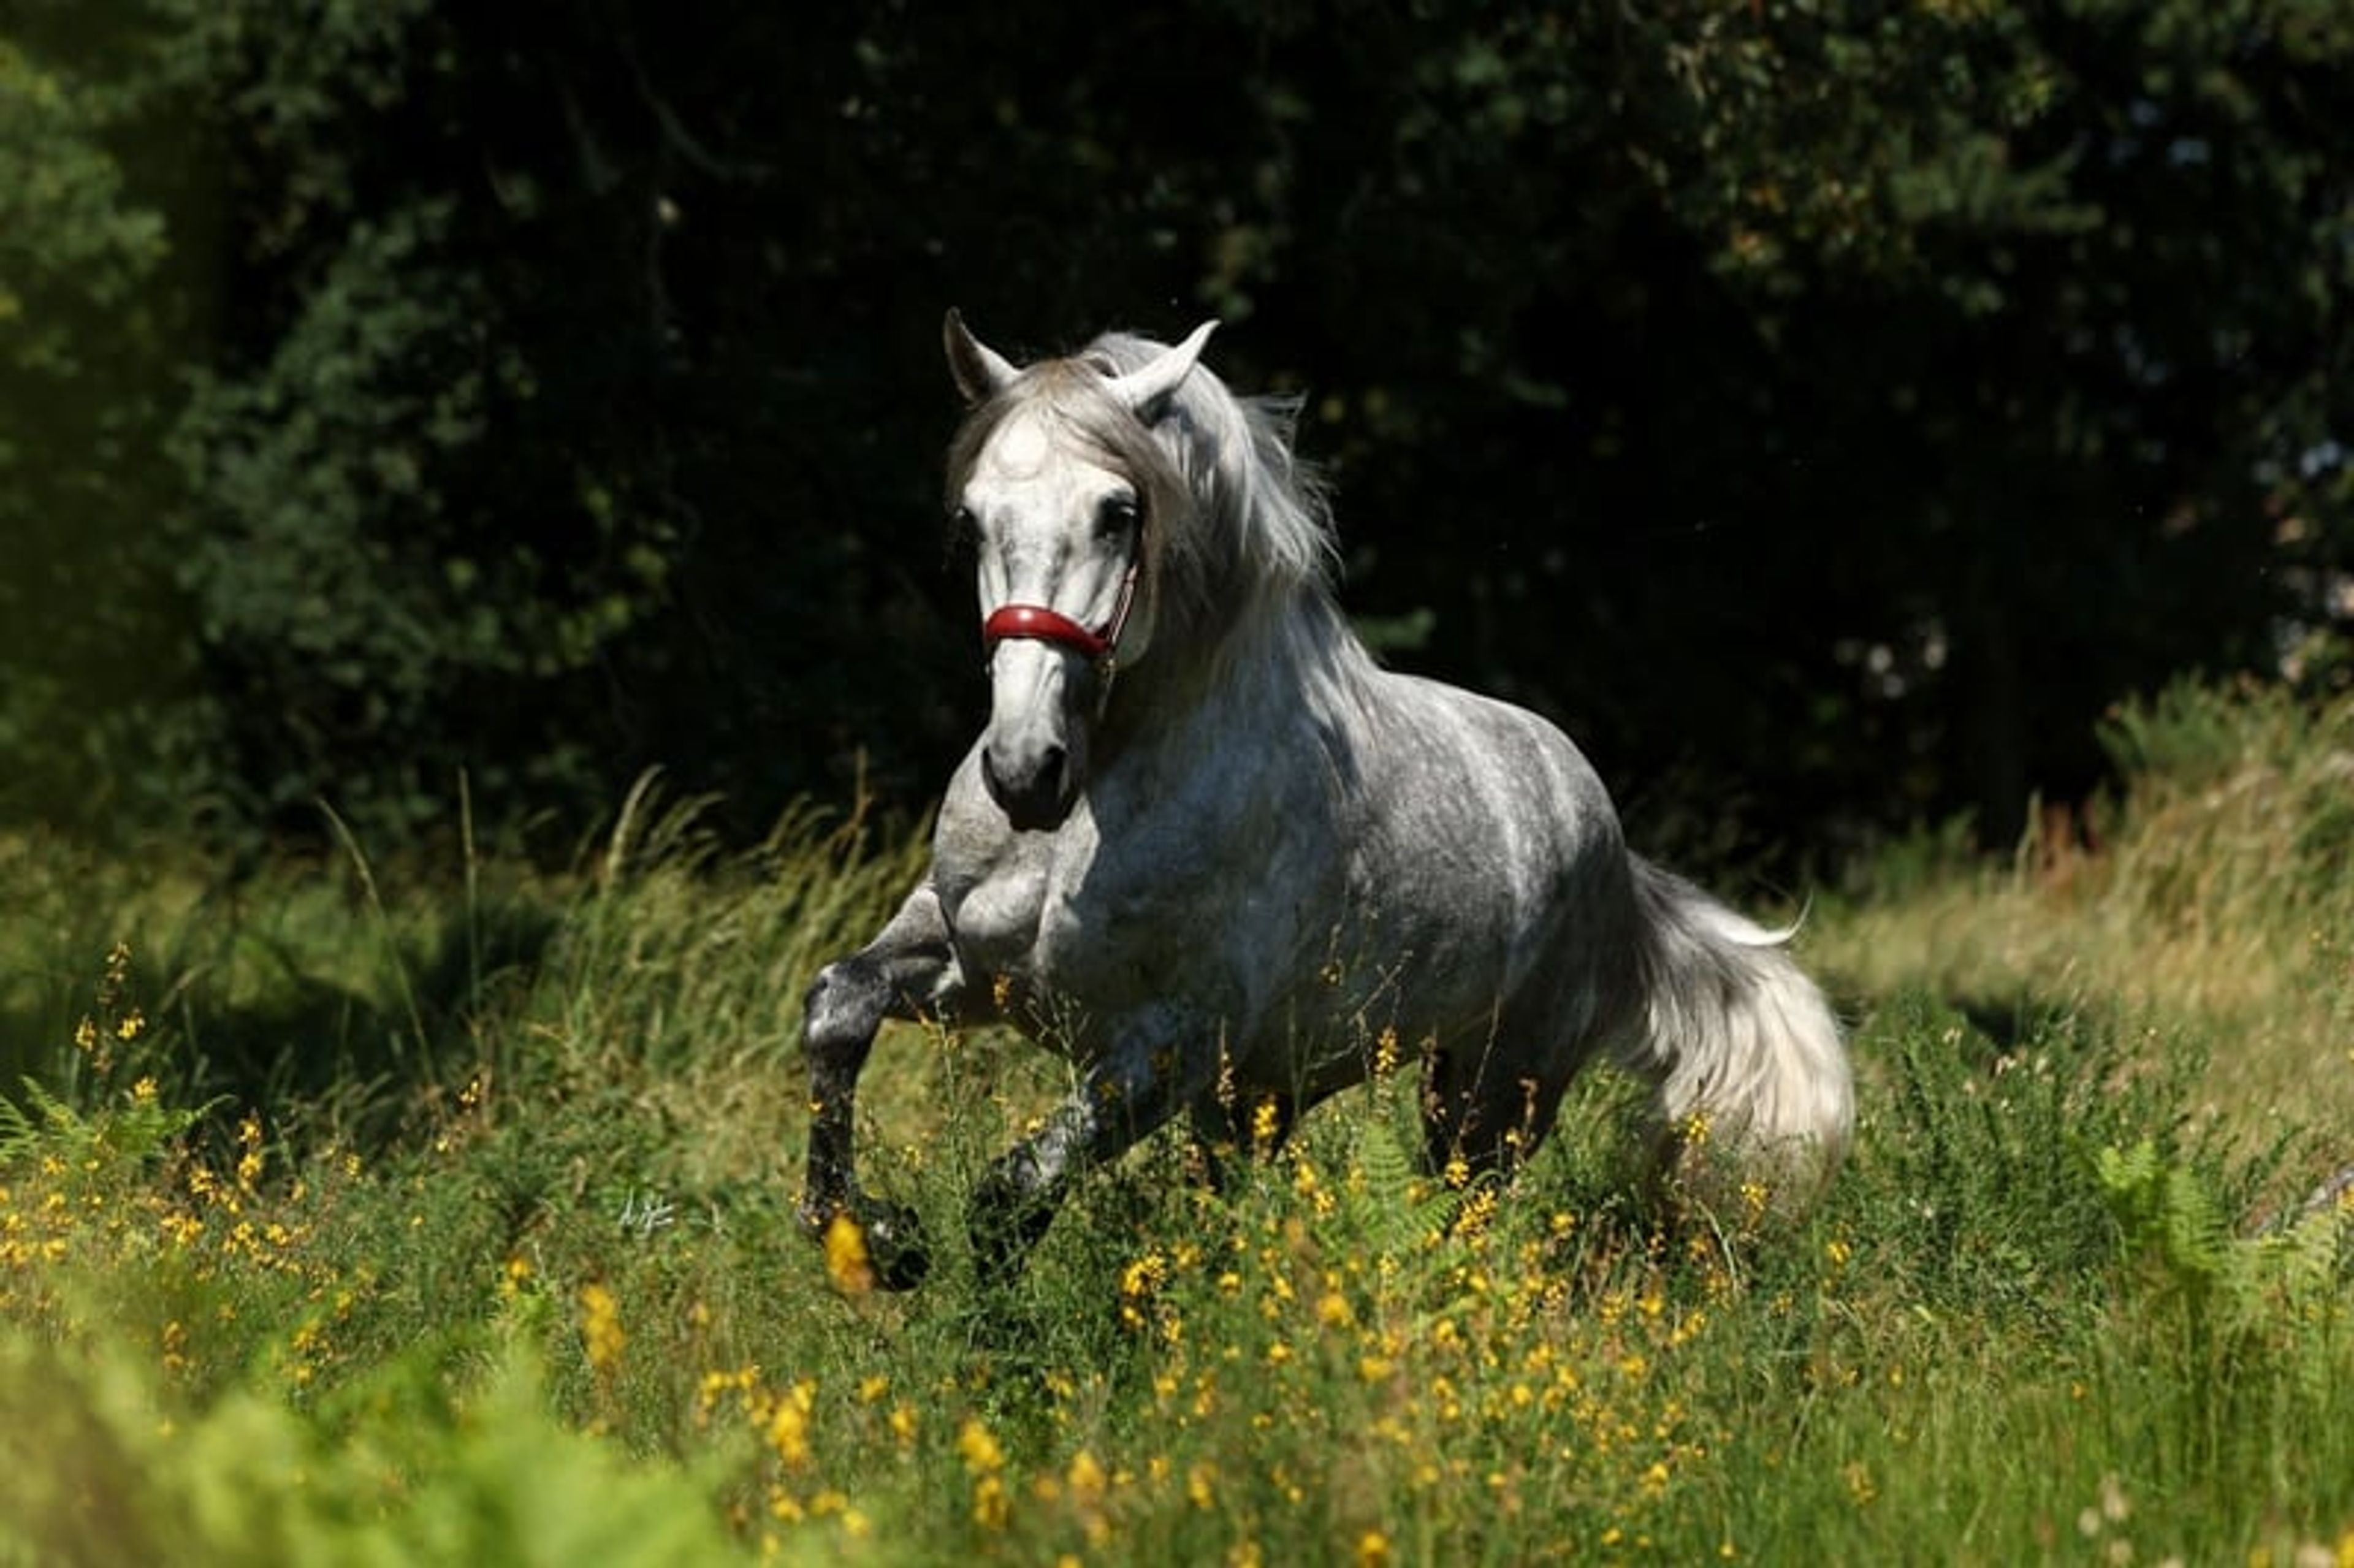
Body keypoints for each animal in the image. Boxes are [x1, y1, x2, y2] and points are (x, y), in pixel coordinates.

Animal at [798, 313, 1853, 1289]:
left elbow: (1009, 1194)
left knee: (1461, 1208)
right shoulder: (972, 967)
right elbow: (838, 1006)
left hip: (1496, 1092)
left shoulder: (1168, 1042)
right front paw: (867, 1234)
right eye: (974, 519)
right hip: (1266, 1099)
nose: (1026, 770)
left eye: (1118, 511)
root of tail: (1613, 853)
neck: (1086, 817)